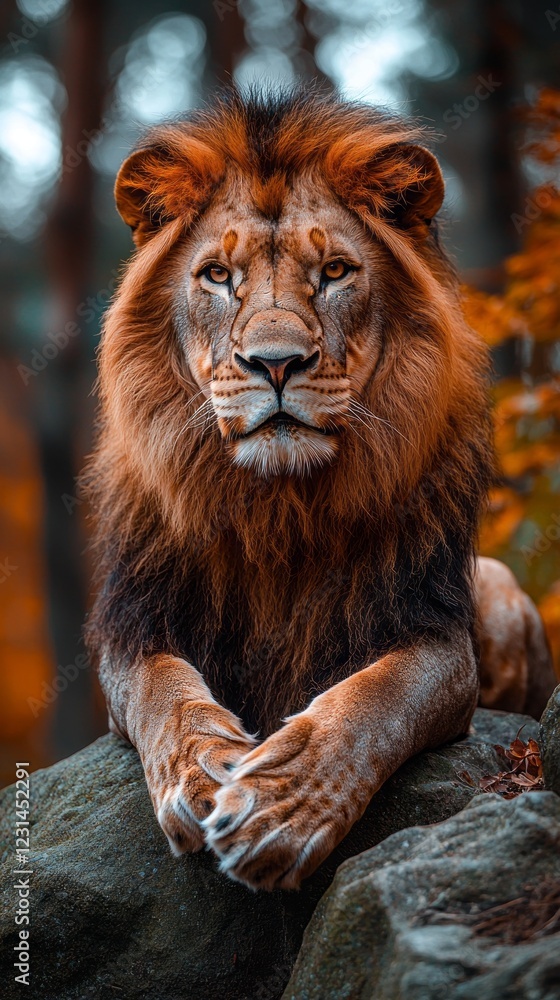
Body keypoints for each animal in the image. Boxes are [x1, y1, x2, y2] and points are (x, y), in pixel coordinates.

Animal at [85, 89, 555, 891]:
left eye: (335, 270)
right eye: (217, 275)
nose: (275, 363)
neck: (279, 508)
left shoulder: (433, 635)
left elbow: (375, 700)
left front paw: (279, 807)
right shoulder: (133, 625)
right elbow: (162, 694)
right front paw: (203, 774)